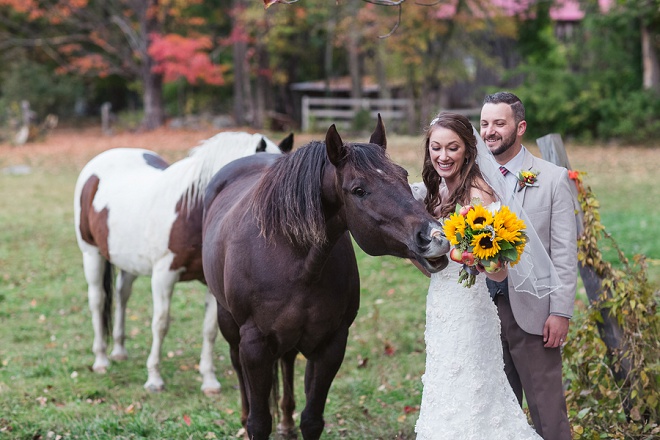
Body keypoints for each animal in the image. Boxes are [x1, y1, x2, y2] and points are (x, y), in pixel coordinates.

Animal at [73, 130, 294, 392]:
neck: (194, 211)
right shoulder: (163, 276)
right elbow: (160, 324)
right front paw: (154, 378)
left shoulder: (212, 285)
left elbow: (209, 329)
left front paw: (209, 380)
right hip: (91, 254)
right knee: (97, 301)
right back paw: (101, 360)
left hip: (128, 261)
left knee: (121, 295)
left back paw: (118, 350)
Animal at [201, 117, 448, 440]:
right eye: (359, 190)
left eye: (404, 175)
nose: (434, 236)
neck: (292, 260)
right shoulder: (254, 346)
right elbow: (259, 422)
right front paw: (251, 422)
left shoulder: (331, 344)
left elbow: (312, 419)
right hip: (229, 324)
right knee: (237, 365)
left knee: (287, 362)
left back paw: (286, 423)